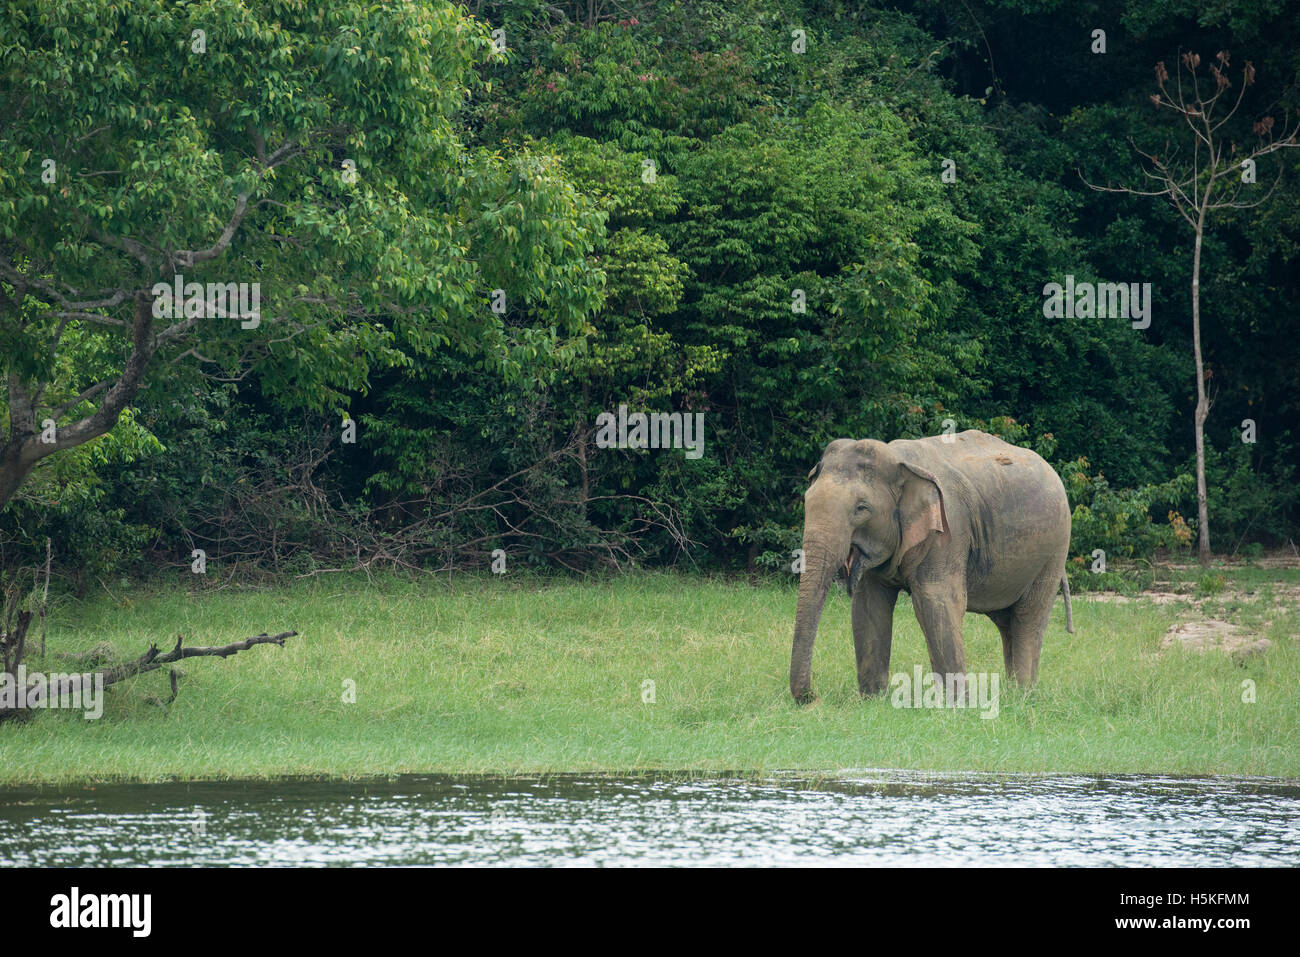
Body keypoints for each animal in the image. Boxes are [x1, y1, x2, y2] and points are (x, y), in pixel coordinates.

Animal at [789, 430, 1073, 704]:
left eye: (861, 508)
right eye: (806, 501)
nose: (813, 698)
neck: (898, 459)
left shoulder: (949, 530)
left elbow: (935, 602)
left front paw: (958, 706)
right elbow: (868, 605)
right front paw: (872, 701)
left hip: (1055, 549)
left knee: (1029, 617)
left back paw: (1022, 695)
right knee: (1008, 622)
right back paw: (1013, 692)